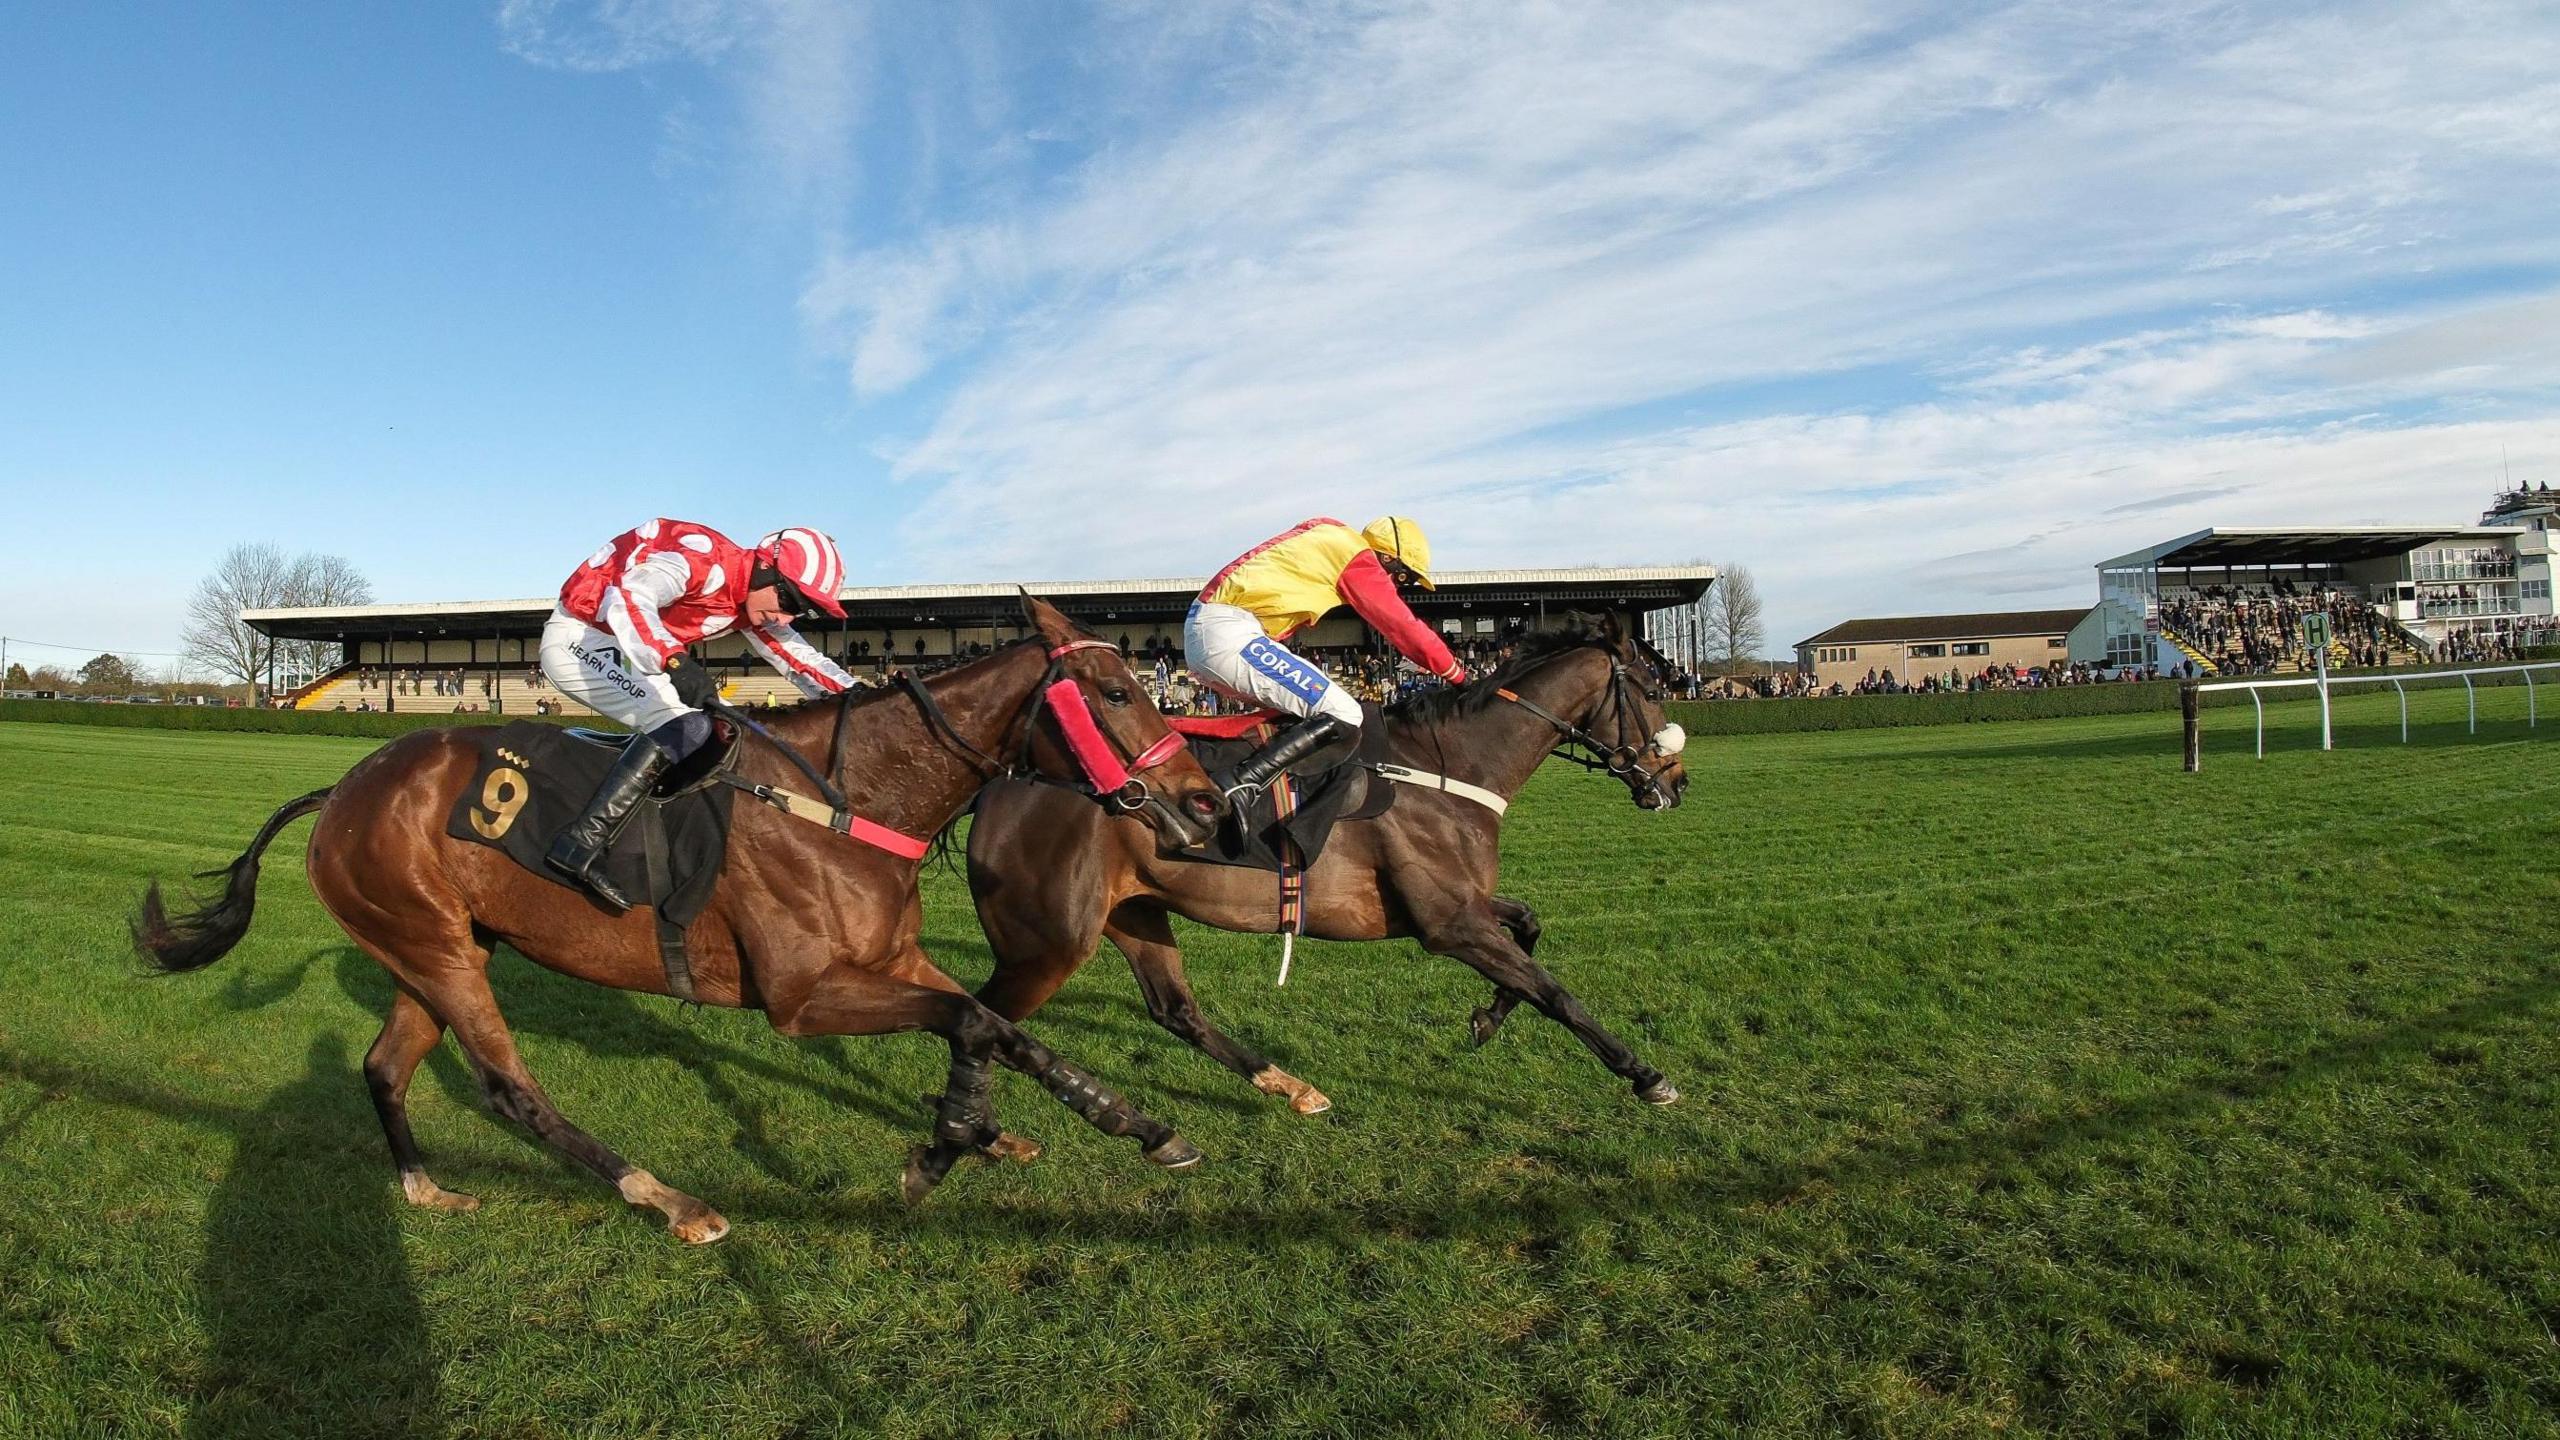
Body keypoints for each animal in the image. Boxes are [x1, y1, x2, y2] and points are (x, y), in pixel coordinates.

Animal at [135, 599, 1233, 1240]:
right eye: (1115, 690)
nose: (1204, 800)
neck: (845, 797)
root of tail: (343, 788)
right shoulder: (799, 996)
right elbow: (973, 1021)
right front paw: (944, 1145)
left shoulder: (893, 958)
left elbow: (998, 1025)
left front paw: (1127, 1125)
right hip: (439, 952)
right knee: (509, 1091)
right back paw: (666, 1198)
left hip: (429, 951)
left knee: (382, 1066)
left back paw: (421, 1188)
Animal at [957, 609, 1679, 1117]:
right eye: (1652, 690)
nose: (1676, 782)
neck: (1448, 768)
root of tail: (1004, 779)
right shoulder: (1450, 925)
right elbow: (1554, 991)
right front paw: (1645, 1075)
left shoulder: (1458, 908)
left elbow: (1529, 926)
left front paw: (1485, 1018)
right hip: (1047, 944)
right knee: (975, 1018)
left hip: (1130, 913)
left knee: (1173, 1010)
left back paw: (1289, 1086)